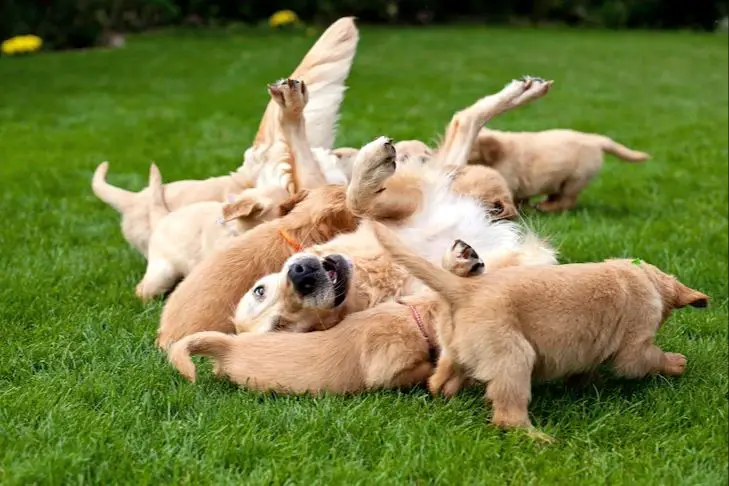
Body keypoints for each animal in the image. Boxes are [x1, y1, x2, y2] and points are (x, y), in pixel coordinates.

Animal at [370, 221, 704, 440]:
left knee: (439, 382)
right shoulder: (635, 347)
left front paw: (587, 385)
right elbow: (649, 358)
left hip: (454, 352)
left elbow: (586, 370)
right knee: (507, 417)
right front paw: (677, 363)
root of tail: (464, 291)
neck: (641, 276)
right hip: (514, 357)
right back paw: (541, 438)